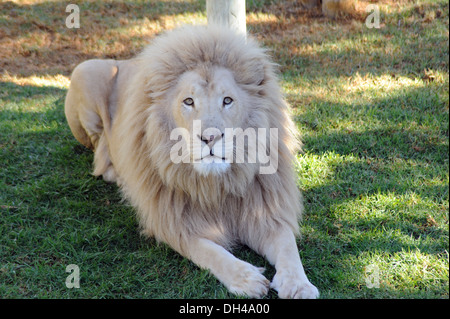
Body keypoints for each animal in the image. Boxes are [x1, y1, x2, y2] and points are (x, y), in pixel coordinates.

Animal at [65, 25, 320, 300]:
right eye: (188, 101)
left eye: (227, 100)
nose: (210, 137)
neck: (216, 186)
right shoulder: (173, 223)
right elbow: (211, 252)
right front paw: (247, 278)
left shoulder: (266, 211)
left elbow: (288, 247)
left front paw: (299, 286)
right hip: (85, 71)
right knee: (99, 148)